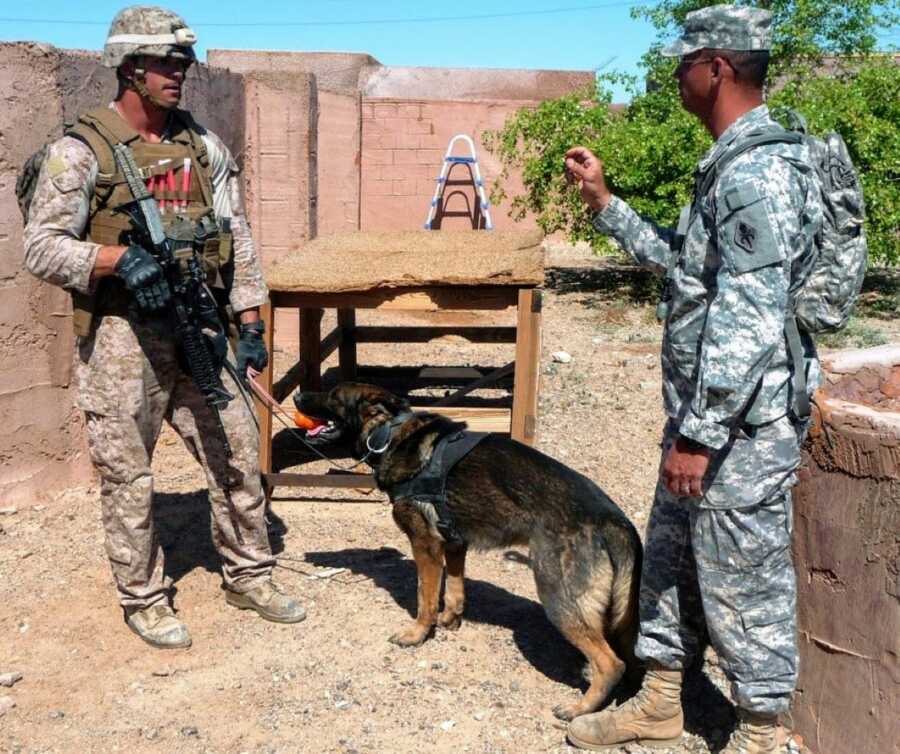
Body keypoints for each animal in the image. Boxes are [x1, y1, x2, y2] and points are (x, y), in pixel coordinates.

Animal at [296, 384, 640, 720]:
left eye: (332, 395)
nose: (298, 395)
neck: (387, 433)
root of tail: (614, 521)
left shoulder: (425, 546)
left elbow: (425, 597)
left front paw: (418, 634)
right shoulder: (455, 543)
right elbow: (455, 588)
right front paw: (451, 618)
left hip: (558, 597)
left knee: (611, 663)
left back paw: (579, 709)